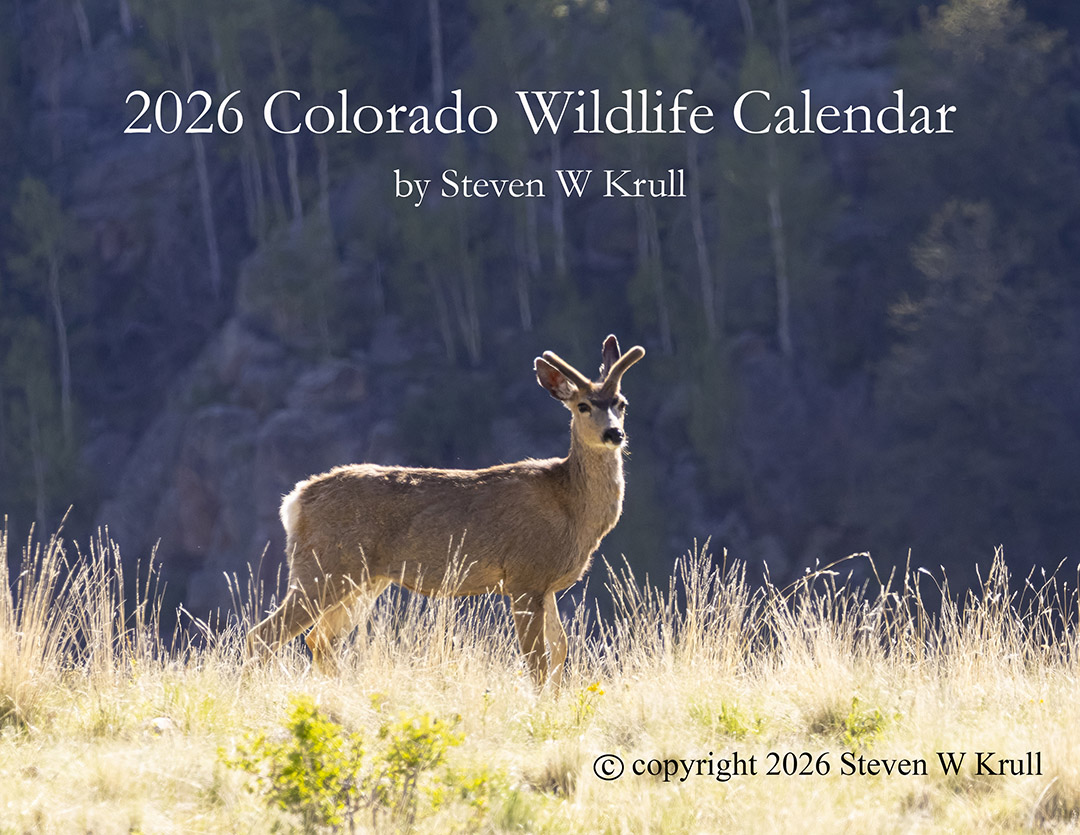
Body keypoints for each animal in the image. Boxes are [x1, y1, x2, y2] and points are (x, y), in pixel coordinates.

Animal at [246, 334, 644, 687]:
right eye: (583, 406)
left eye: (622, 403)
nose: (614, 434)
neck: (571, 508)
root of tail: (295, 500)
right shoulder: (524, 576)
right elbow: (537, 660)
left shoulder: (546, 587)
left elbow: (560, 650)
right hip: (323, 566)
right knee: (265, 634)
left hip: (363, 578)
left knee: (319, 640)